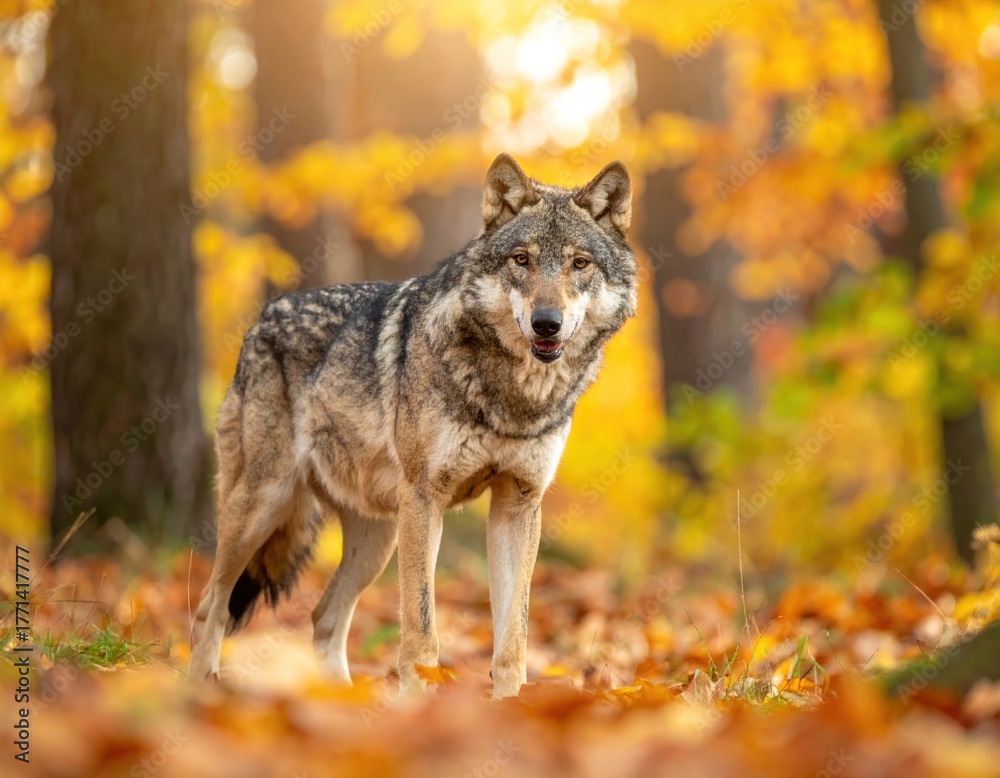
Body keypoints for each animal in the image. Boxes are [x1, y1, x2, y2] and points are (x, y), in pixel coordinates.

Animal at [188, 154, 637, 699]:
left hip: (376, 539)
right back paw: (201, 689)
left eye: (580, 264)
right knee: (211, 606)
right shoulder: (425, 496)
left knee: (323, 617)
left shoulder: (518, 503)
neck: (511, 397)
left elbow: (513, 636)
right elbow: (421, 626)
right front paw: (418, 700)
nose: (546, 323)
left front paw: (510, 705)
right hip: (265, 505)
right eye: (521, 260)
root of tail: (262, 318)